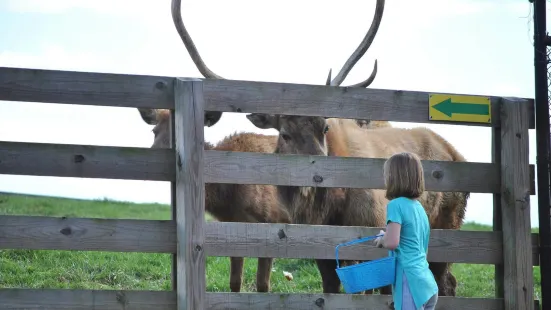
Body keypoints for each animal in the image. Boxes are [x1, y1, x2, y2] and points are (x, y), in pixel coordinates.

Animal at [138, 0, 392, 294]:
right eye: (154, 131)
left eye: (325, 128)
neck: (229, 196)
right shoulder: (232, 229)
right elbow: (235, 283)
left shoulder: (274, 223)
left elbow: (262, 285)